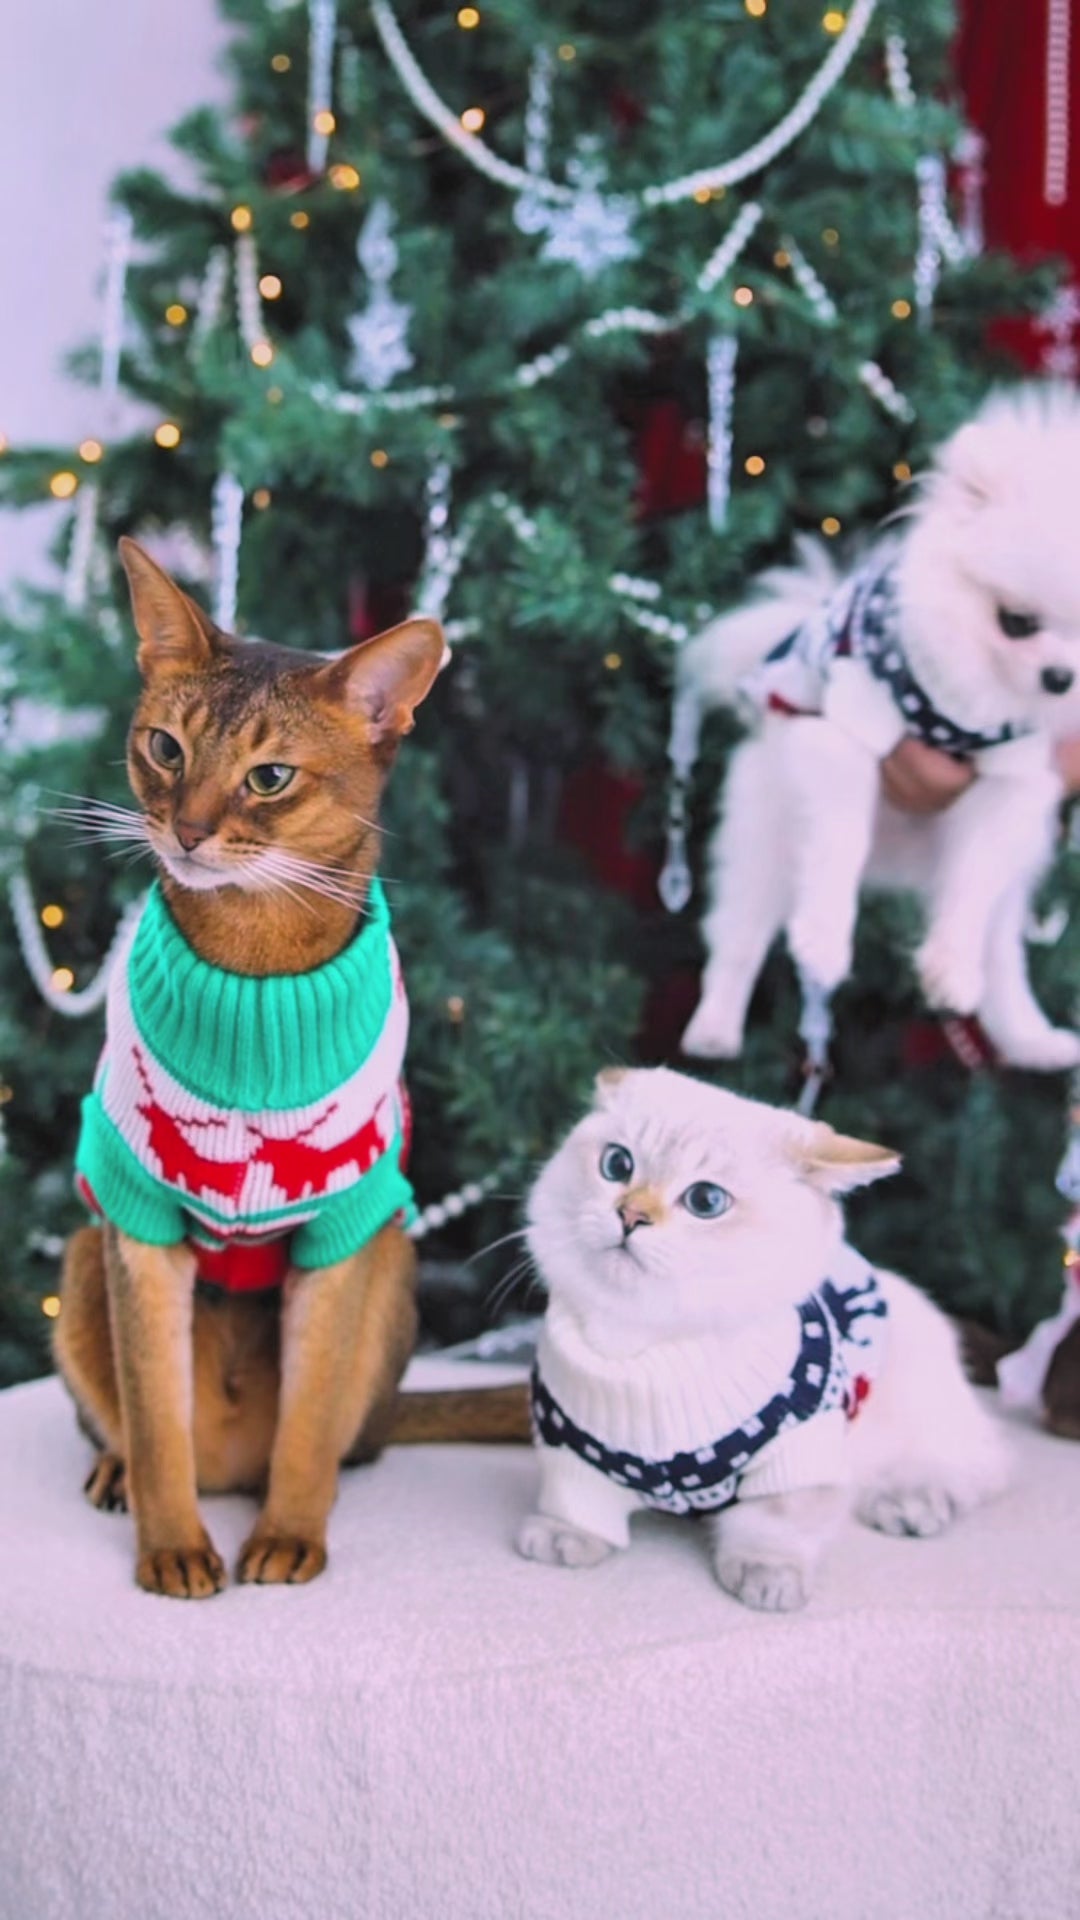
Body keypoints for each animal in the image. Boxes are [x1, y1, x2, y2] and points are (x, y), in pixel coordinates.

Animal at [53, 538, 445, 1598]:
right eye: (165, 748)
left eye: (270, 777)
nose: (187, 831)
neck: (255, 973)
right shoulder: (137, 1216)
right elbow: (156, 1418)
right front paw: (173, 1547)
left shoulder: (342, 1228)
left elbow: (308, 1425)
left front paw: (291, 1535)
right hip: (82, 1256)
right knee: (133, 1425)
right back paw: (118, 1474)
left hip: (393, 1256)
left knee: (346, 1439)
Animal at [517, 1066, 1010, 1610]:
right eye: (616, 1164)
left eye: (705, 1201)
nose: (630, 1215)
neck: (646, 1350)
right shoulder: (569, 1444)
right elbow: (576, 1503)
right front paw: (564, 1538)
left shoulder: (798, 1453)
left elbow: (774, 1525)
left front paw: (768, 1577)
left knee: (975, 1465)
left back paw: (907, 1503)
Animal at [679, 386, 1080, 1072]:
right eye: (1017, 622)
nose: (1061, 679)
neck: (967, 701)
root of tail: (898, 868)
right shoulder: (843, 734)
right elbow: (838, 844)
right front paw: (822, 942)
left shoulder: (1012, 784)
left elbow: (971, 886)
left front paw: (948, 970)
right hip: (765, 834)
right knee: (739, 934)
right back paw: (715, 1029)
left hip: (1013, 874)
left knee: (1000, 955)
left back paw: (1032, 1039)